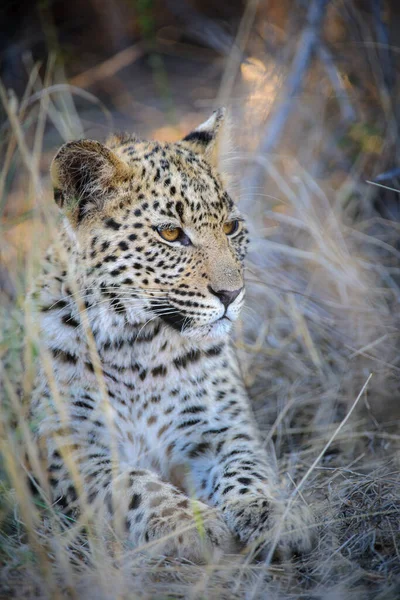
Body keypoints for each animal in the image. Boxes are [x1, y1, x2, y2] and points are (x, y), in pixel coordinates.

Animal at [29, 108, 314, 564]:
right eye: (169, 234)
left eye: (230, 227)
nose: (232, 294)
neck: (137, 344)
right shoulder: (77, 450)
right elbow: (135, 486)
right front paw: (191, 524)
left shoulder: (222, 429)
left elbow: (248, 466)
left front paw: (271, 512)